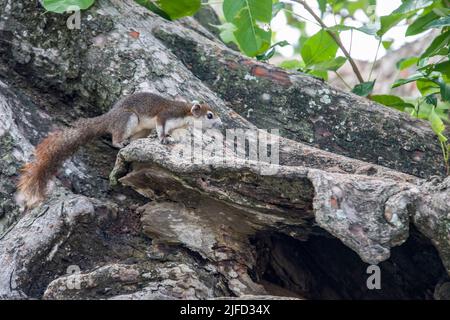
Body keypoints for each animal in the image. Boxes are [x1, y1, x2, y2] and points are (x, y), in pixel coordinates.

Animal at [17, 92, 221, 208]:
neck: (185, 114)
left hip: (140, 129)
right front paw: (163, 138)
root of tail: (108, 118)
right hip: (128, 119)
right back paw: (121, 143)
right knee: (116, 138)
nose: (220, 123)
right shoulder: (166, 115)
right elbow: (162, 127)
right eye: (209, 115)